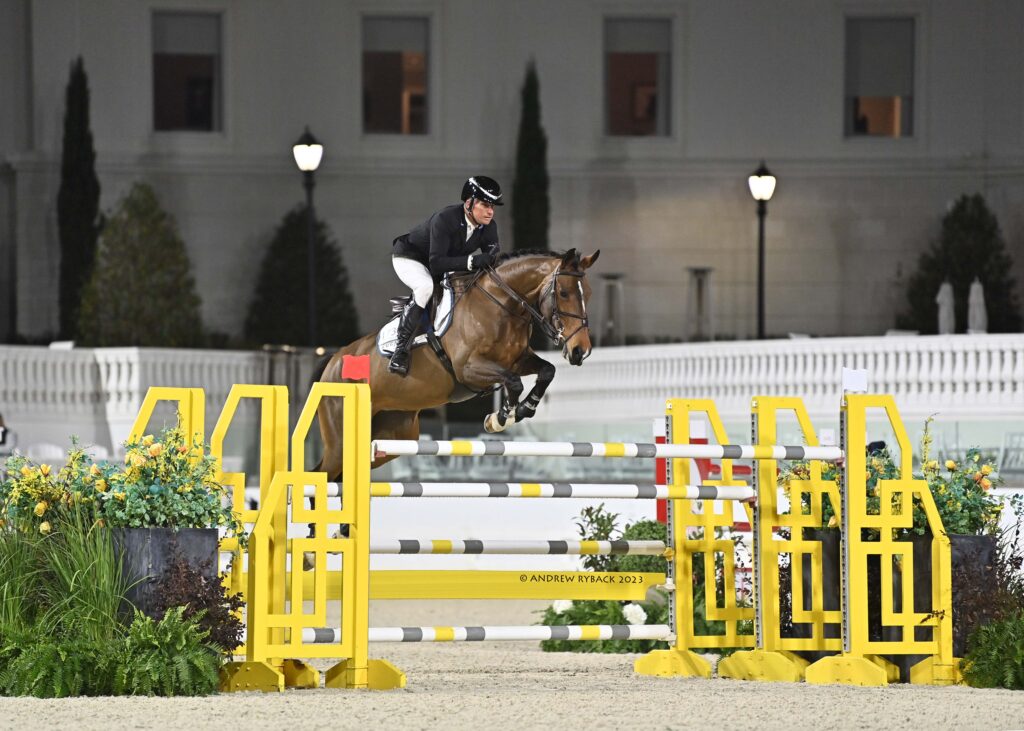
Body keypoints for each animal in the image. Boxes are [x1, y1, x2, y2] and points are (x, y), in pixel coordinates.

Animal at [315, 247, 598, 475]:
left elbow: (547, 371)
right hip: (341, 442)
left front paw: (523, 409)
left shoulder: (517, 360)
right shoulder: (469, 369)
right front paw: (502, 417)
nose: (580, 351)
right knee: (323, 475)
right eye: (563, 293)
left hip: (393, 435)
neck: (502, 306)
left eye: (589, 294)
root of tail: (332, 364)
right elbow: (514, 382)